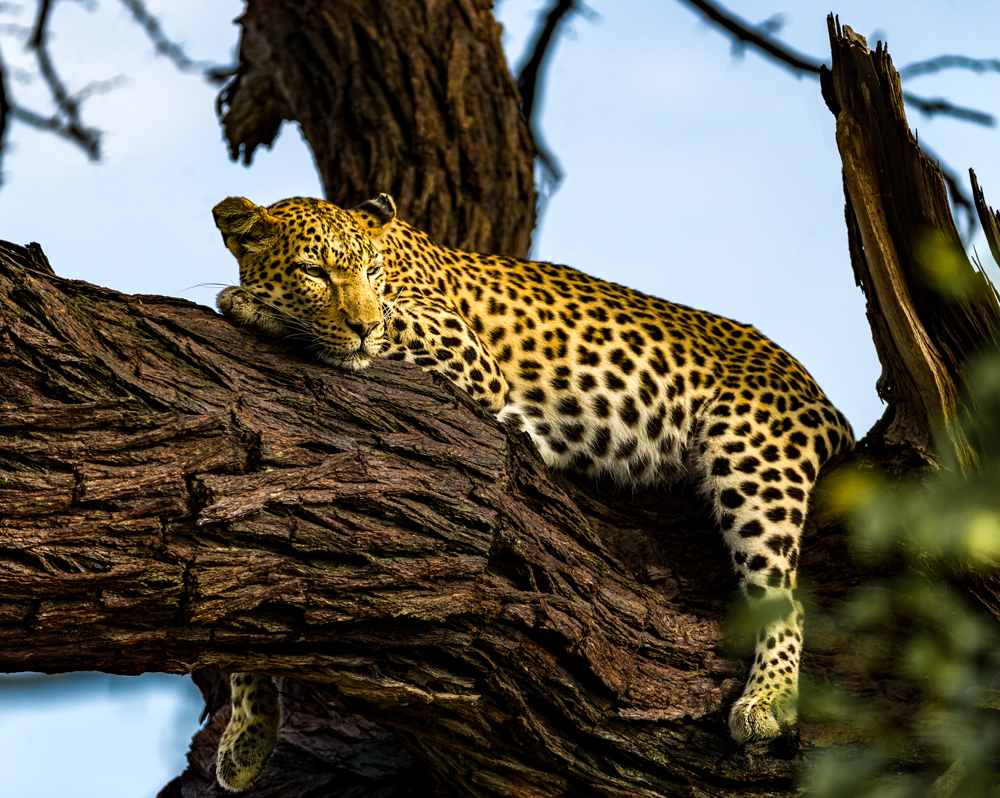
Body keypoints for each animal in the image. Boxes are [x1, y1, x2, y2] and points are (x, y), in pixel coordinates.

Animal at [209, 192, 852, 792]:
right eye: (314, 272)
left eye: (370, 272)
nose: (361, 326)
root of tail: (819, 394)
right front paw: (247, 734)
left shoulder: (462, 348)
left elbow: (384, 325)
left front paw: (249, 304)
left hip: (755, 449)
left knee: (784, 594)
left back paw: (768, 702)